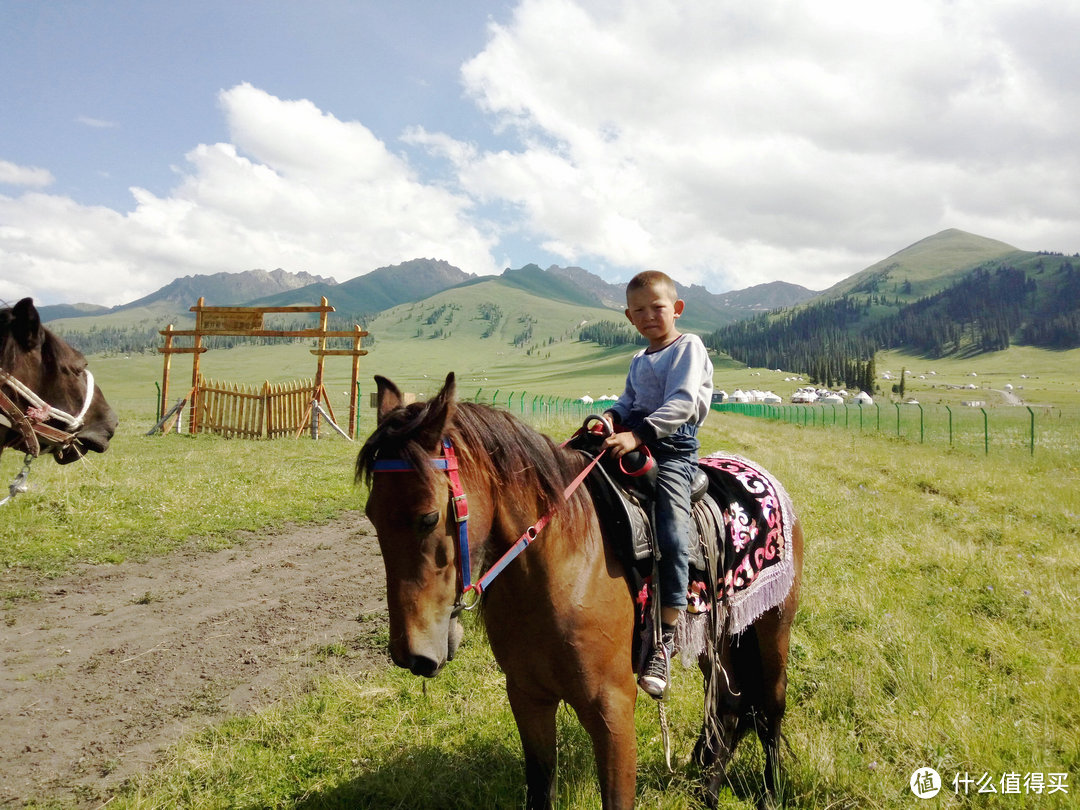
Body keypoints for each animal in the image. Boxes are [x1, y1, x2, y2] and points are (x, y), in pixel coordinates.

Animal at [356, 373, 803, 810]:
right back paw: (707, 791)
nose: (410, 654)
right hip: (721, 635)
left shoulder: (613, 708)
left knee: (771, 706)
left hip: (773, 627)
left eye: (429, 518)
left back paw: (770, 793)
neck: (558, 569)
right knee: (728, 704)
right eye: (371, 515)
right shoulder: (527, 696)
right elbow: (541, 789)